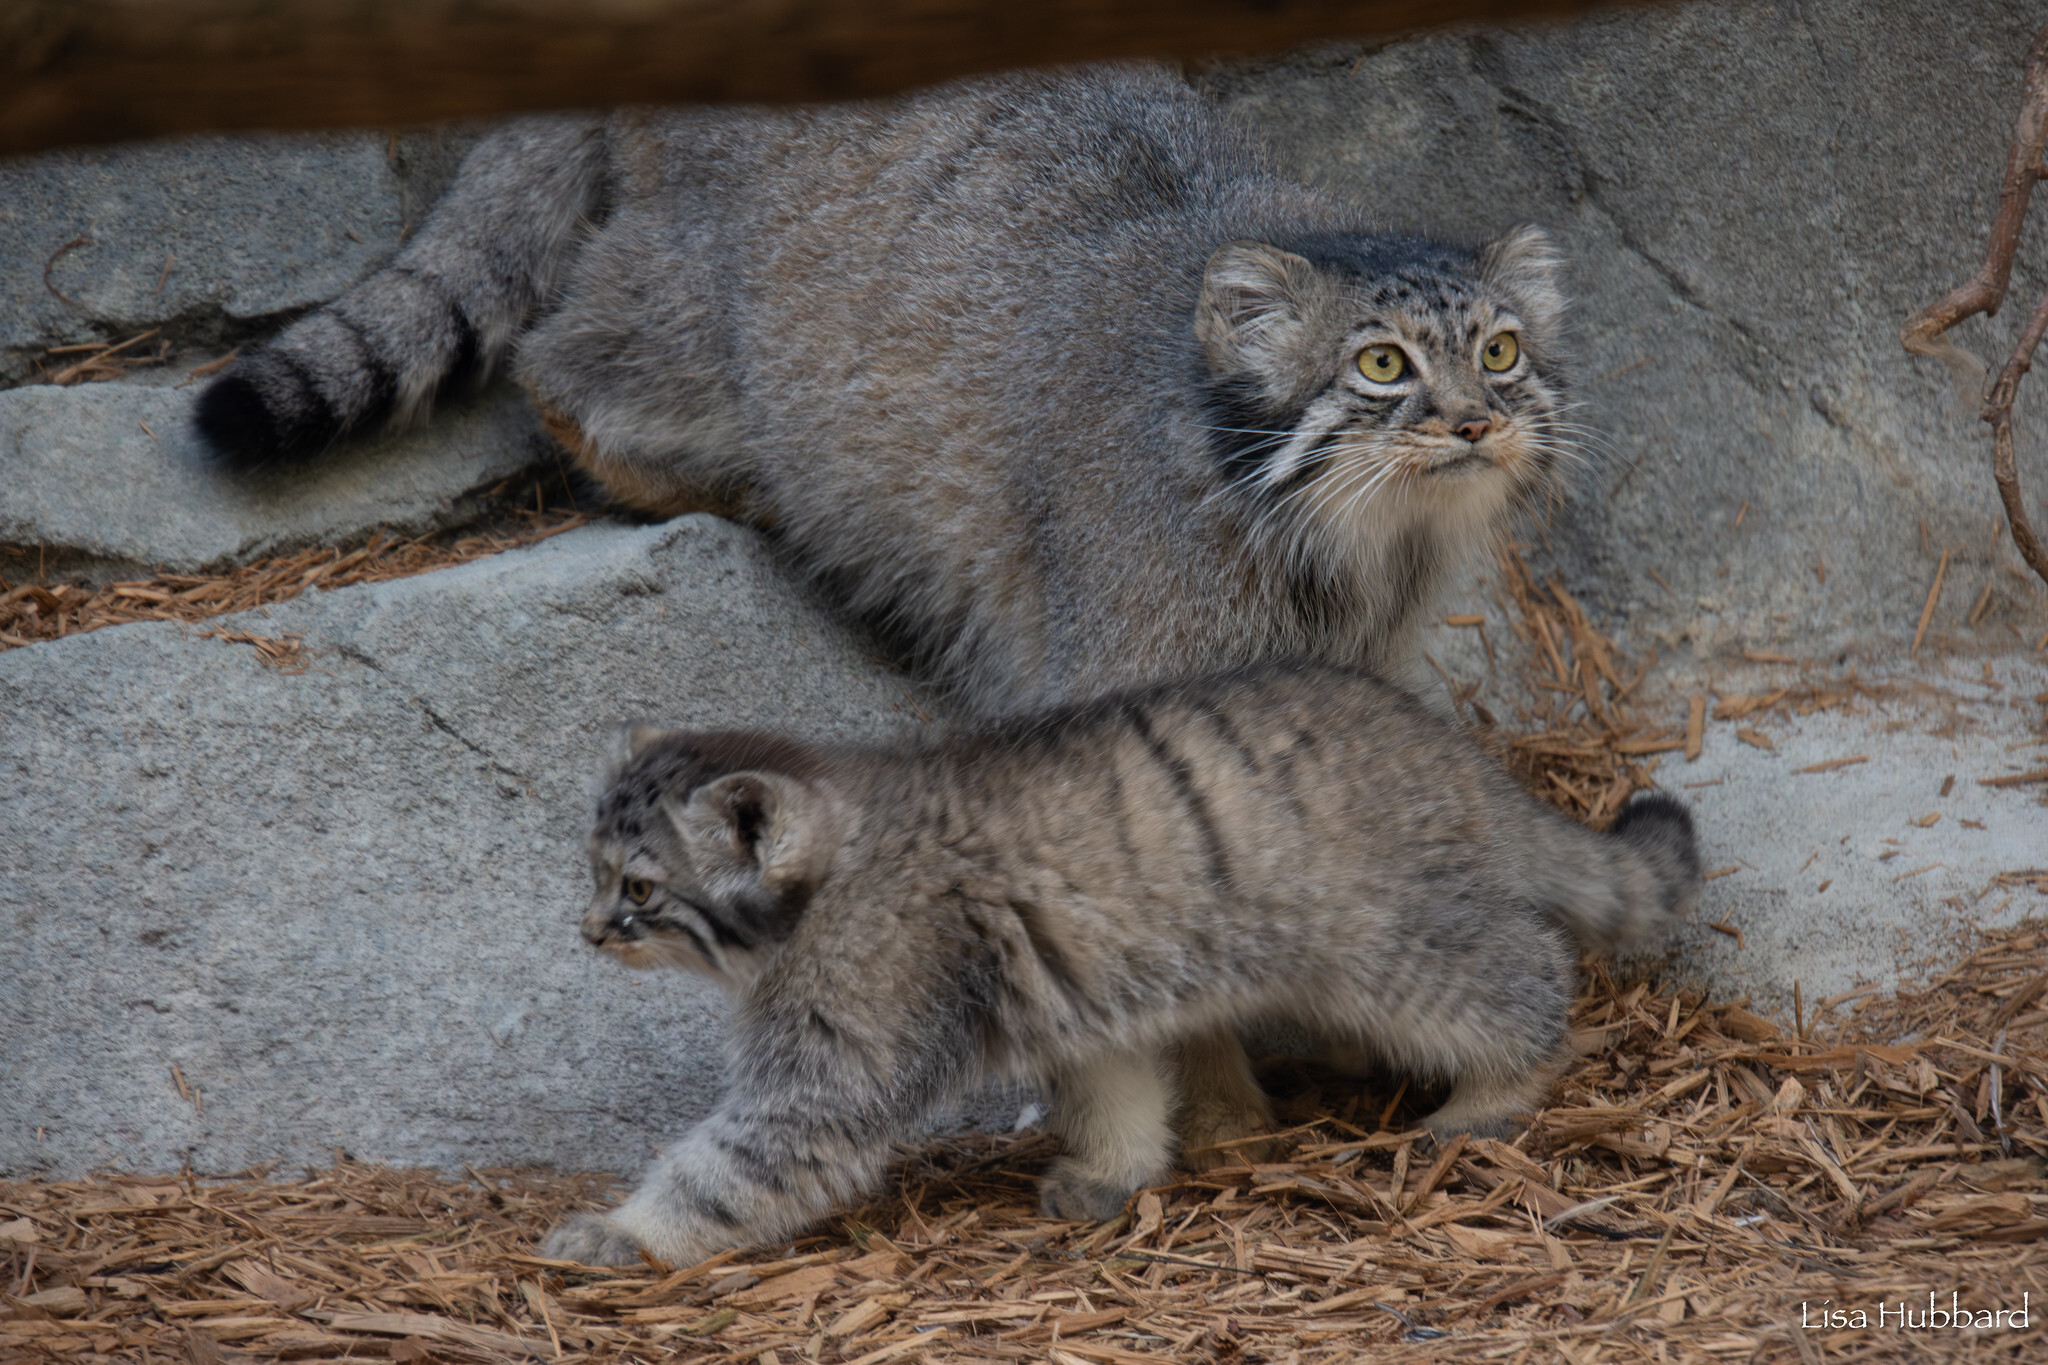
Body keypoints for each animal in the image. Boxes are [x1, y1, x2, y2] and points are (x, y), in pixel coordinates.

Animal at [195, 66, 1564, 716]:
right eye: (1379, 366)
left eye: (1500, 352)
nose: (1474, 420)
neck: (1353, 543)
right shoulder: (1129, 653)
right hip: (712, 318)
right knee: (562, 365)